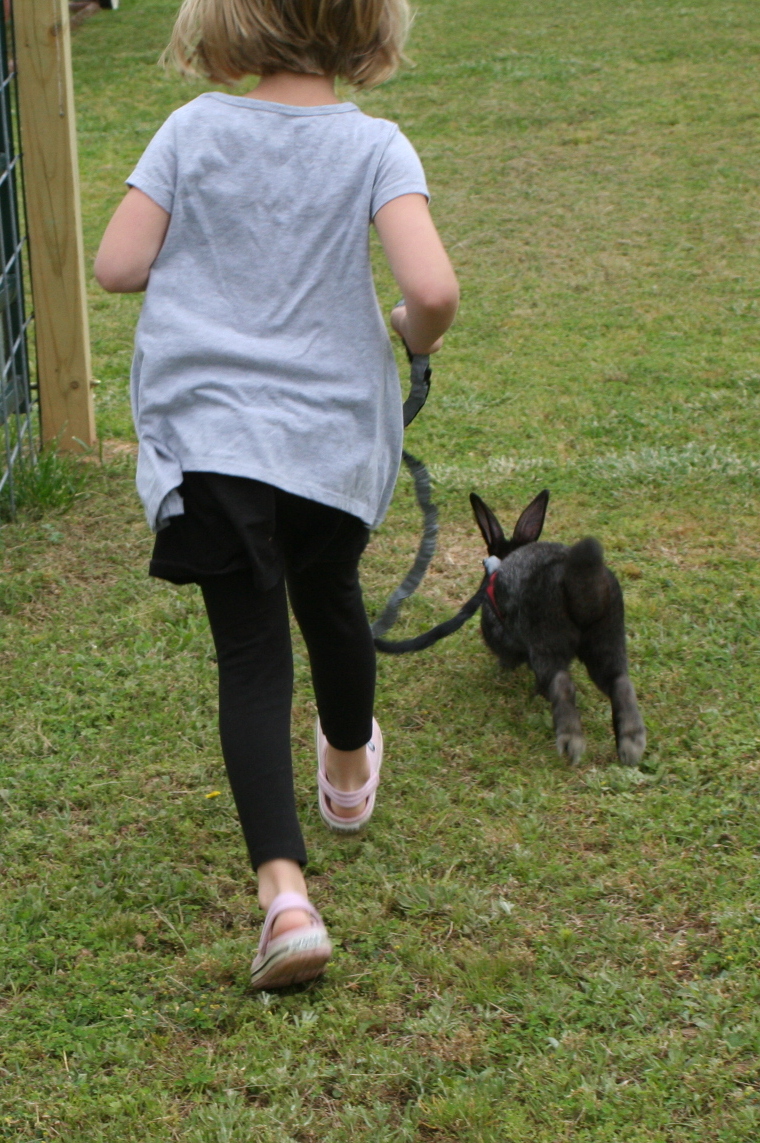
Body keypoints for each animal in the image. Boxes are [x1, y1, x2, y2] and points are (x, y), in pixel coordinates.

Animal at [470, 489, 646, 766]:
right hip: (607, 638)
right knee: (620, 683)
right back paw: (632, 743)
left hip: (547, 643)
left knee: (562, 684)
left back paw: (571, 742)